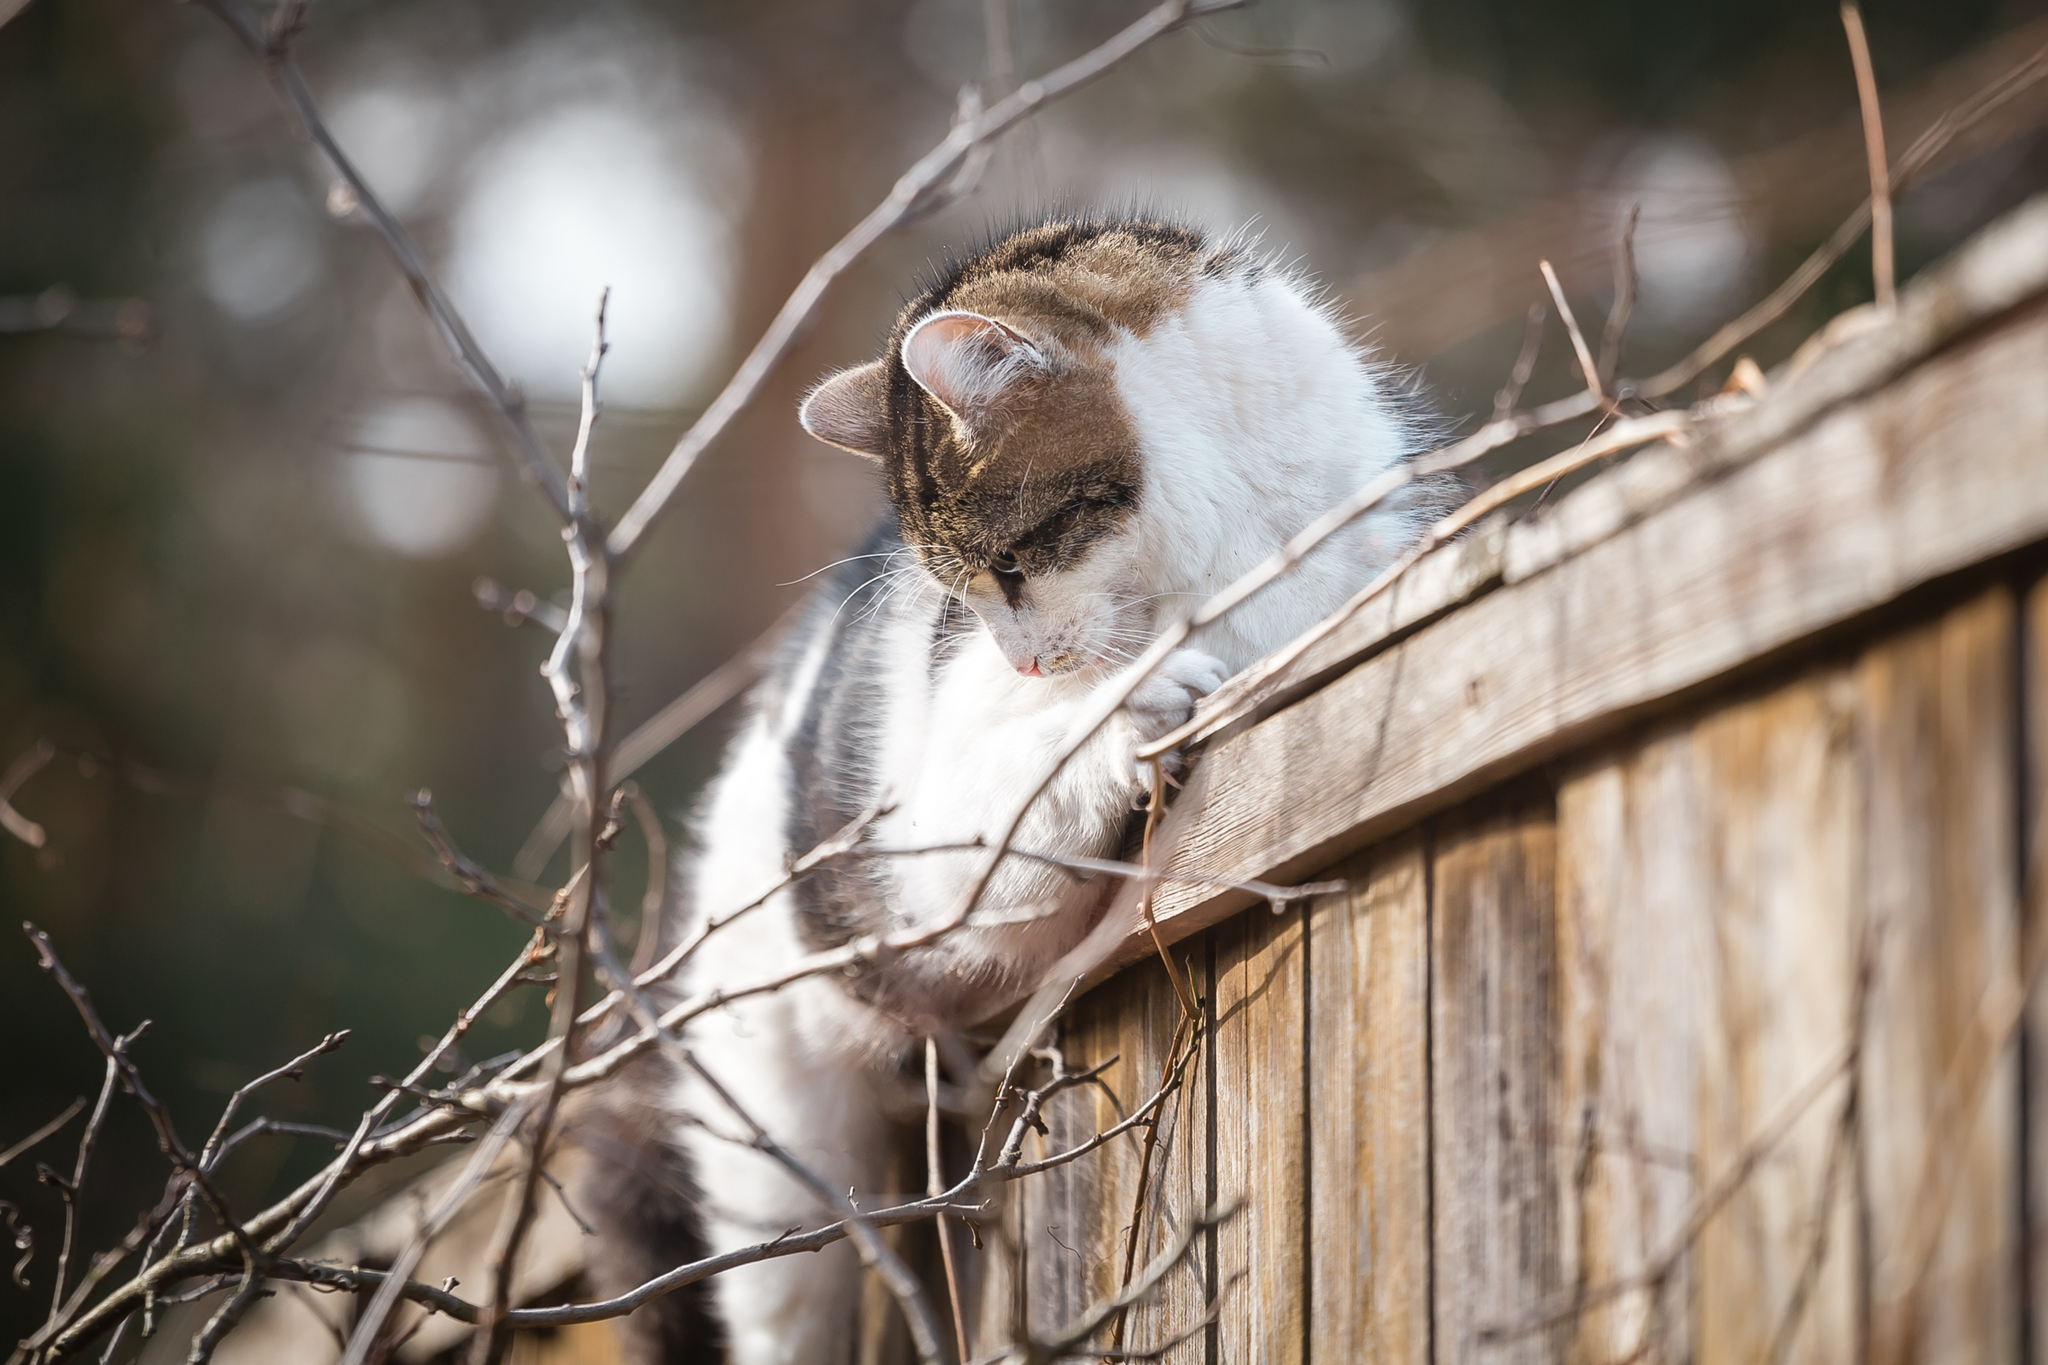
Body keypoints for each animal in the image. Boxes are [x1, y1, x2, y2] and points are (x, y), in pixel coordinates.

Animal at [577, 215, 1441, 1365]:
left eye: (1013, 567)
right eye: (959, 590)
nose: (1023, 661)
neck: (1229, 544)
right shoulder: (925, 834)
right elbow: (1034, 775)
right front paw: (1128, 705)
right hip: (774, 1146)